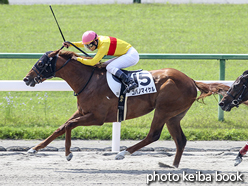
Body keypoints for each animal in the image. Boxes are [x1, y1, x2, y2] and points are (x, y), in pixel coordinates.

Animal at [23, 49, 229, 167]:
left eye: (40, 63)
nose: (26, 79)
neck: (88, 80)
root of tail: (191, 80)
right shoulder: (82, 111)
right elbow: (61, 127)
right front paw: (35, 149)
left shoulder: (97, 117)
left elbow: (68, 125)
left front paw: (67, 154)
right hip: (174, 116)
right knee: (180, 140)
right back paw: (173, 166)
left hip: (163, 110)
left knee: (153, 135)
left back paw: (123, 153)